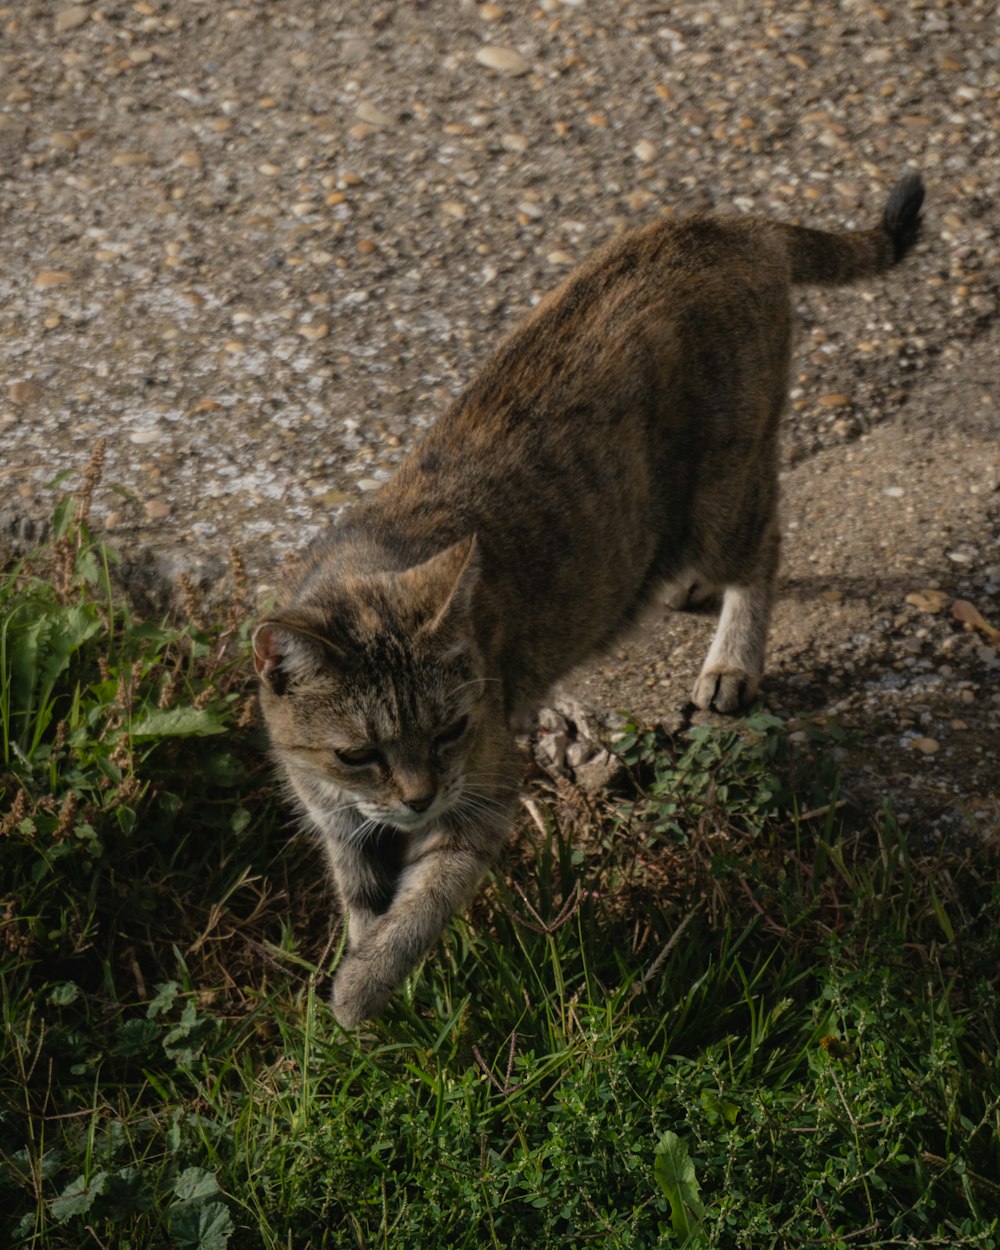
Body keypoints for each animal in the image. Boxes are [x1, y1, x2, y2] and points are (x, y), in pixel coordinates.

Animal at [253, 171, 925, 1025]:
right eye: (356, 754)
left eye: (450, 730)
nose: (419, 796)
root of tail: (726, 223)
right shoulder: (340, 824)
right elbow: (364, 903)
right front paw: (370, 982)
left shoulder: (481, 797)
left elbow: (419, 909)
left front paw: (362, 992)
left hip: (723, 494)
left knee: (769, 542)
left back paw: (731, 661)